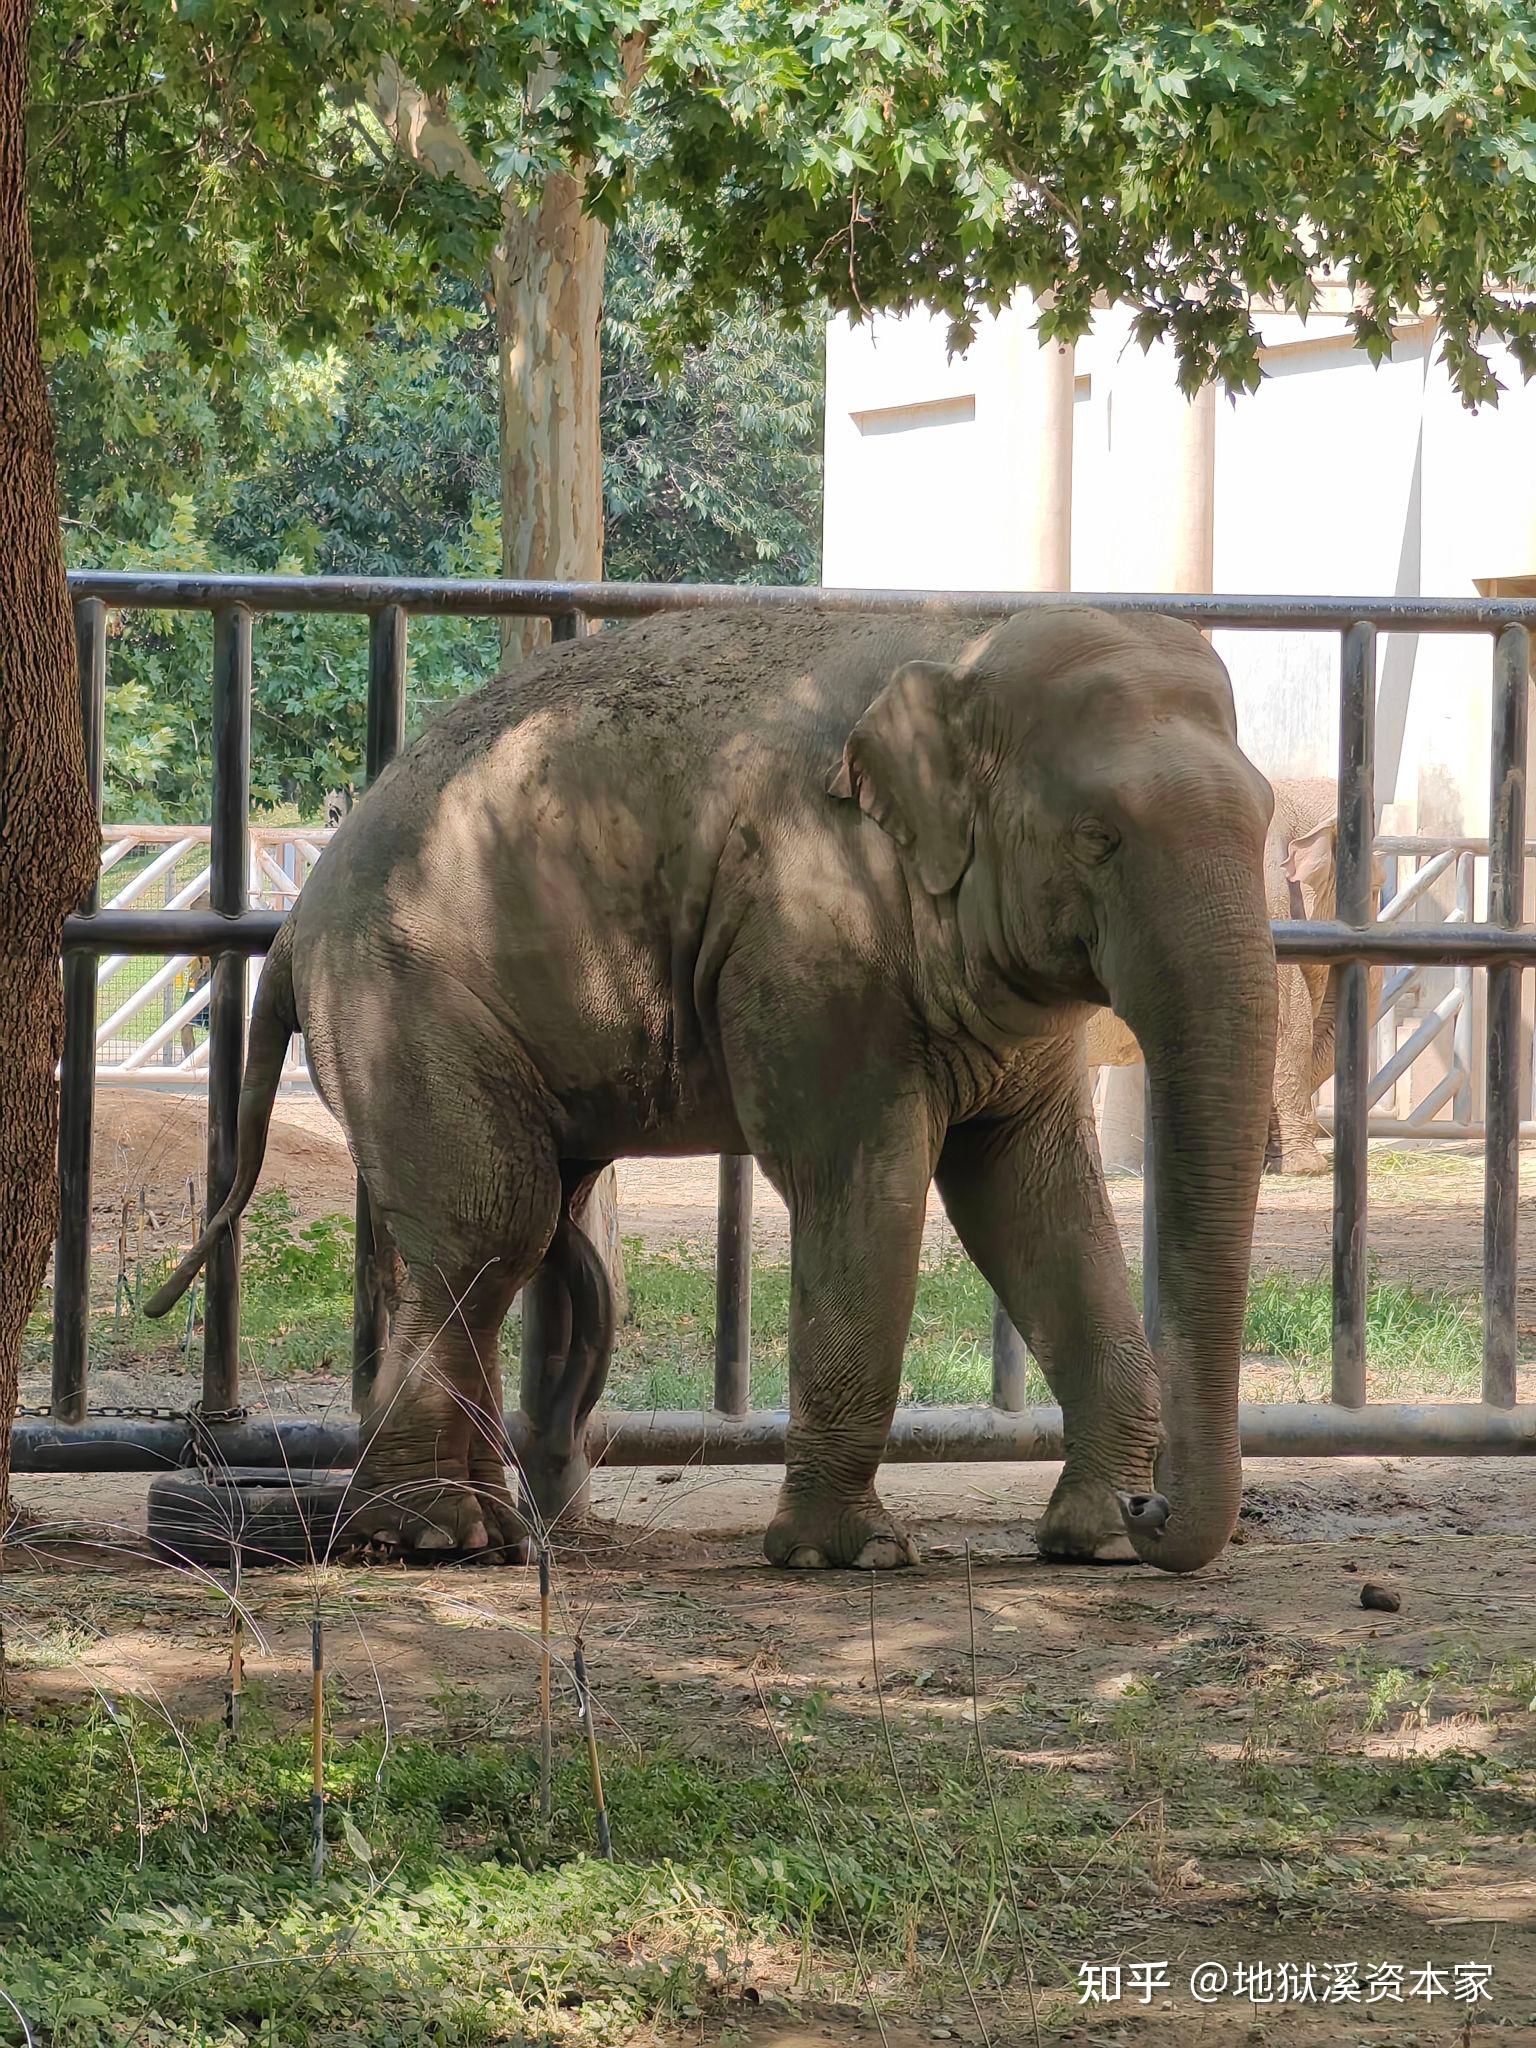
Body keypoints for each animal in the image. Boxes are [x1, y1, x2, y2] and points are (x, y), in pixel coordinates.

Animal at [150, 598, 1277, 1572]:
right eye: (1100, 837)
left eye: (1267, 819)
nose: (1153, 1504)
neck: (964, 642)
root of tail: (294, 927)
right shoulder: (808, 929)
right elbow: (860, 1179)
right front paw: (848, 1556)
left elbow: (1033, 1199)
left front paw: (1095, 1539)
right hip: (403, 1001)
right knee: (492, 1226)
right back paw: (432, 1536)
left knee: (511, 1234)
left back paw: (487, 1533)